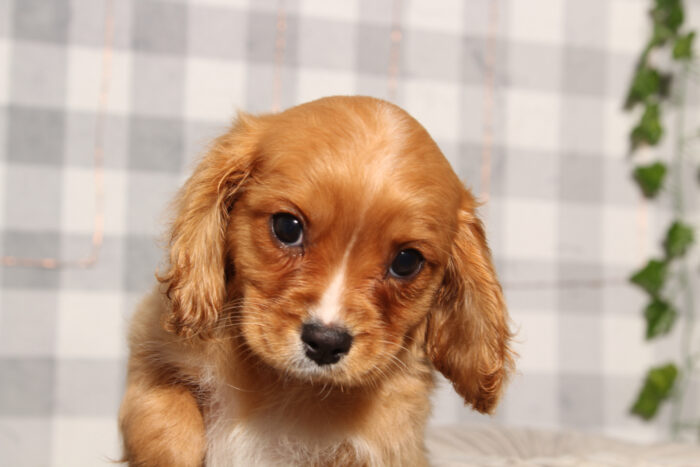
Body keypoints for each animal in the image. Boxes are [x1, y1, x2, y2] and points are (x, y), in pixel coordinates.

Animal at [119, 96, 516, 467]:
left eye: (407, 262)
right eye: (287, 227)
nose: (326, 343)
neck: (284, 386)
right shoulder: (151, 354)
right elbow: (167, 418)